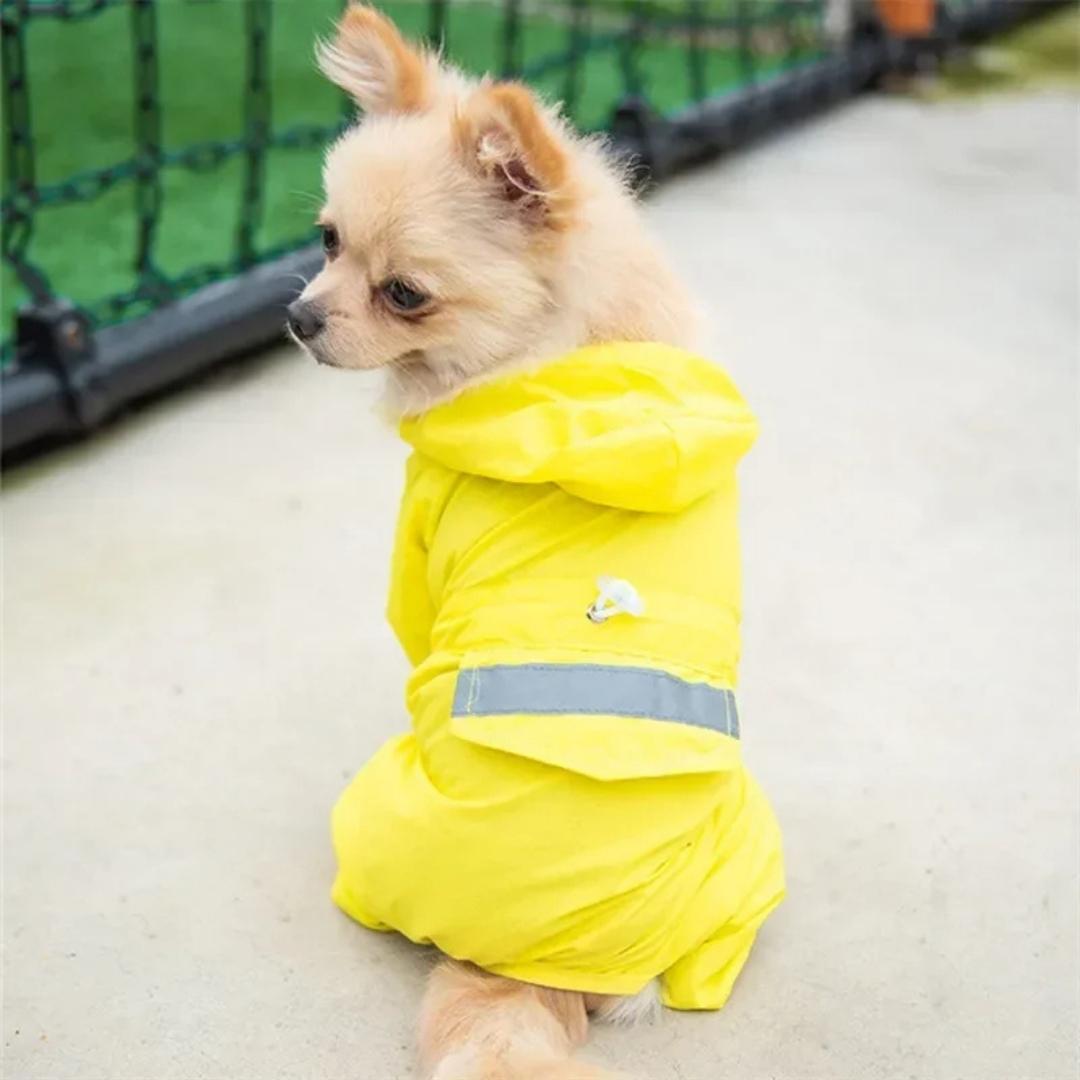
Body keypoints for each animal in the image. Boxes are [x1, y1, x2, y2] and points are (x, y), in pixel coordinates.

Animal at [291, 10, 781, 1080]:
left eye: (404, 294)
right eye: (326, 240)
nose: (297, 316)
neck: (572, 359)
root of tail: (547, 963)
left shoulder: (420, 559)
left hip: (367, 820)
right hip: (749, 856)